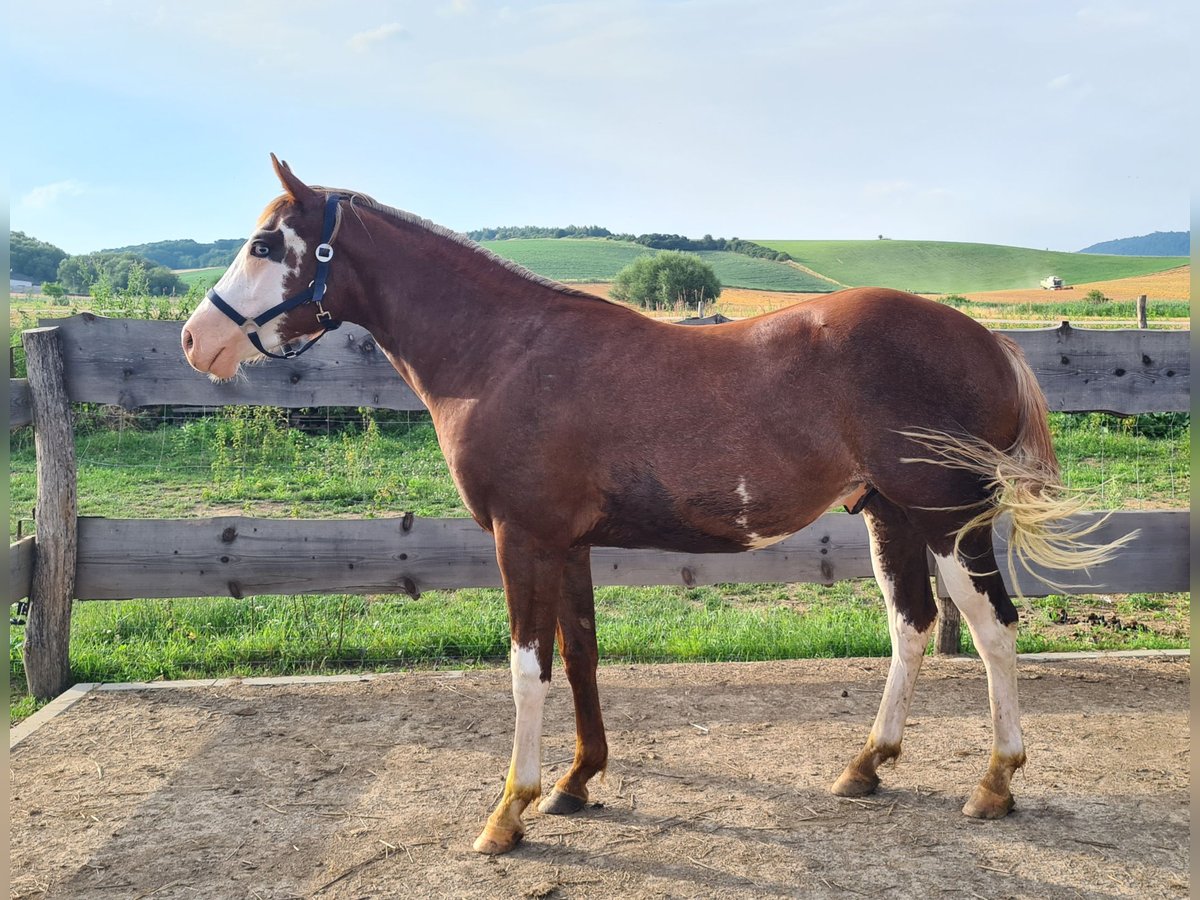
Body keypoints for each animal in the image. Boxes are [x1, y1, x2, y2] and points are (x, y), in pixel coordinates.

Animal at [180, 157, 1123, 859]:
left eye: (265, 242)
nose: (197, 339)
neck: (505, 352)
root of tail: (988, 339)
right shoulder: (565, 544)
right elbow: (582, 656)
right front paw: (575, 783)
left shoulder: (522, 540)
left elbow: (526, 668)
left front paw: (508, 811)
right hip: (888, 515)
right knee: (913, 626)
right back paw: (867, 765)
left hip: (946, 520)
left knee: (993, 627)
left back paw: (994, 782)